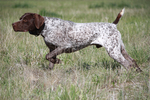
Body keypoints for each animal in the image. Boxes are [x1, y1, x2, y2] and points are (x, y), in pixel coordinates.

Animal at [12, 8, 142, 71]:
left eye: (25, 20)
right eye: (20, 18)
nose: (13, 24)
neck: (46, 27)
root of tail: (113, 24)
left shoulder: (64, 46)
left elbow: (48, 57)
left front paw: (58, 61)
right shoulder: (52, 49)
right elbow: (50, 61)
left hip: (113, 51)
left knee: (127, 64)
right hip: (120, 49)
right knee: (133, 61)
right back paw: (138, 72)